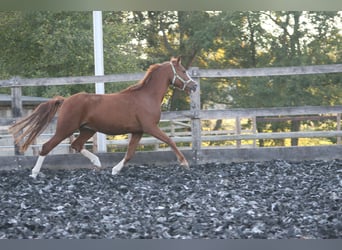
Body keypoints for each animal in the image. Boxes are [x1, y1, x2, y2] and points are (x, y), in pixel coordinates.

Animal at [9, 56, 198, 178]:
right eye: (183, 71)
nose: (194, 86)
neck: (146, 96)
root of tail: (65, 100)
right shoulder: (150, 127)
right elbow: (170, 140)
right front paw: (184, 163)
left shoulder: (138, 131)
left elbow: (130, 154)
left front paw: (115, 170)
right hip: (65, 128)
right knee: (47, 147)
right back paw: (34, 173)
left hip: (87, 130)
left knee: (76, 145)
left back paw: (97, 162)